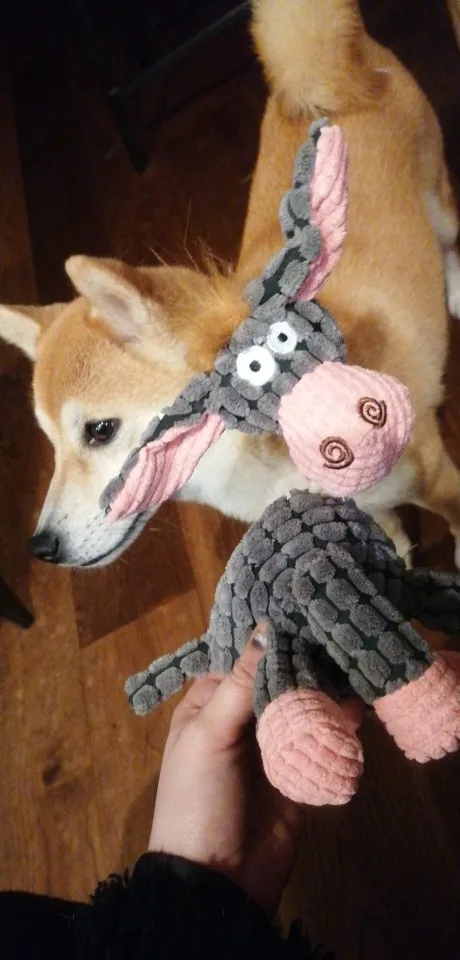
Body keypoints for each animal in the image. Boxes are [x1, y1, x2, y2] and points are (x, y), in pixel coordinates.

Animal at [1, 0, 460, 569]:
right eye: (50, 444)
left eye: (100, 431)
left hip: (440, 200)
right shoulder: (365, 510)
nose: (39, 547)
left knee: (449, 240)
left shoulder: (437, 477)